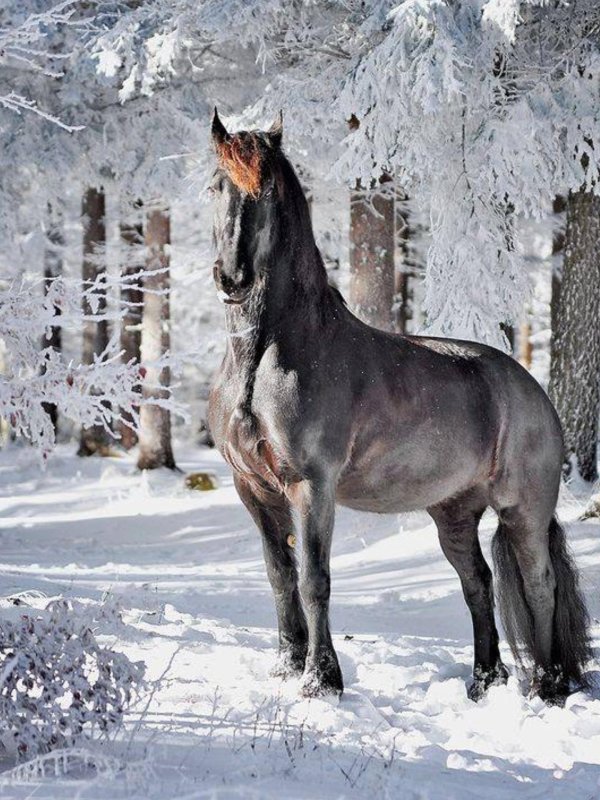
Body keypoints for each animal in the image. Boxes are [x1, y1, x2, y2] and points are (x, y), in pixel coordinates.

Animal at [207, 109, 591, 705]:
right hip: (453, 513)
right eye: (215, 187)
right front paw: (287, 668)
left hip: (522, 509)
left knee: (538, 583)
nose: (232, 277)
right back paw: (484, 681)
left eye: (265, 191)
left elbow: (313, 579)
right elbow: (279, 575)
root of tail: (532, 389)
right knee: (478, 583)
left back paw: (547, 687)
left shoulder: (311, 486)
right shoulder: (253, 488)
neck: (268, 355)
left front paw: (321, 681)